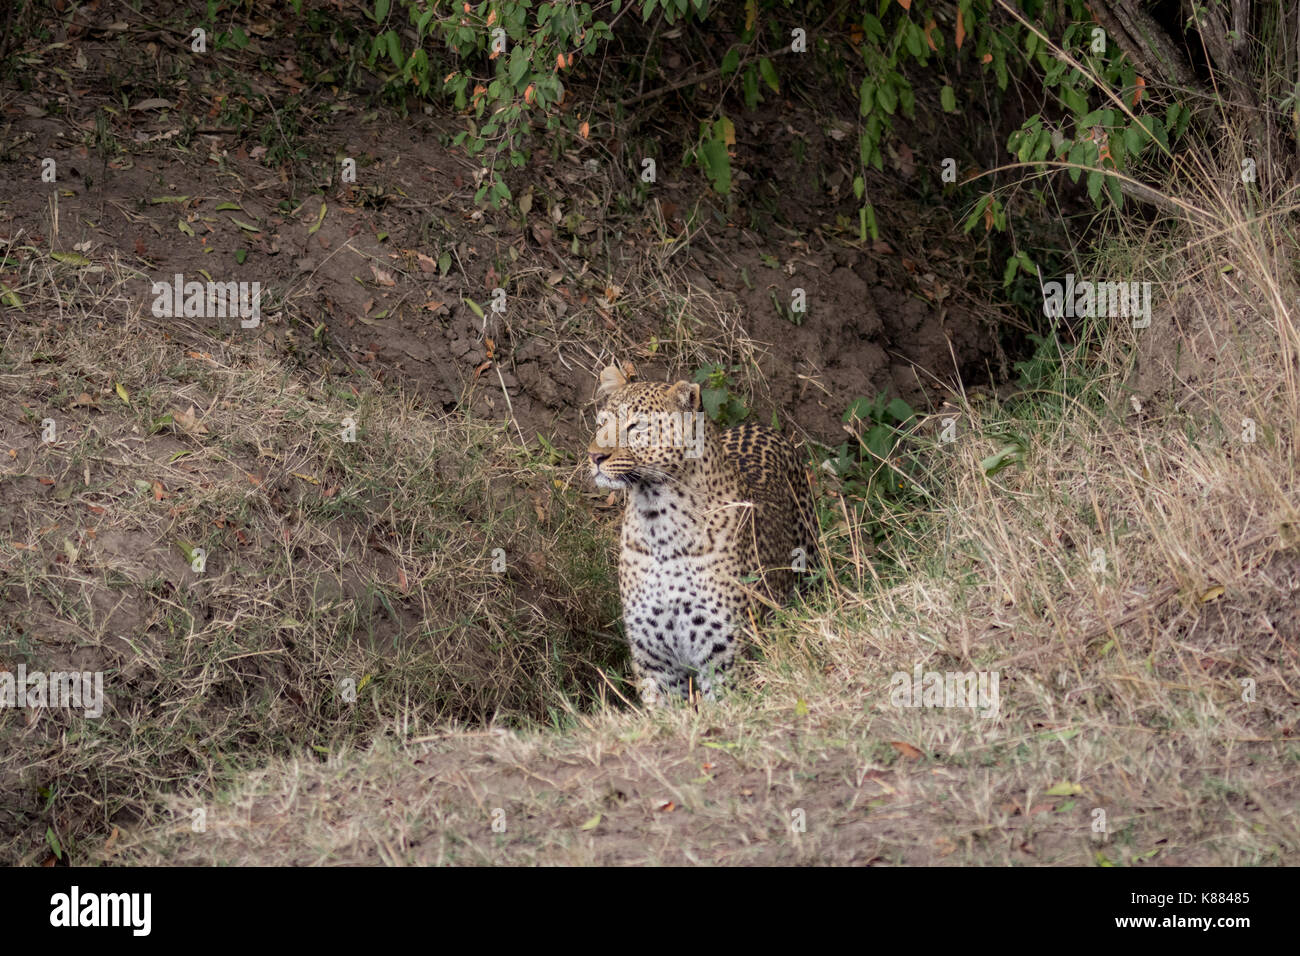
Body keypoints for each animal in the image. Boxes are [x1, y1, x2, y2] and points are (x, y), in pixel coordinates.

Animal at [587, 361, 811, 707]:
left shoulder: (725, 653)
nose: (594, 456)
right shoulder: (654, 660)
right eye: (601, 424)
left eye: (636, 426)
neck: (656, 521)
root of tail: (761, 425)